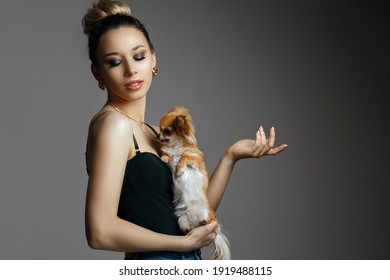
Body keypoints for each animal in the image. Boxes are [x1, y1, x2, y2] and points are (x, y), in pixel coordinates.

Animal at [157, 105, 230, 260]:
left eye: (167, 131)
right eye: (159, 129)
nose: (157, 136)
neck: (175, 147)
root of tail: (195, 219)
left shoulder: (196, 161)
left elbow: (184, 157)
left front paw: (179, 169)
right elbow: (168, 155)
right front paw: (165, 157)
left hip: (207, 215)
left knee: (209, 223)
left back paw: (204, 222)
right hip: (182, 221)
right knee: (188, 229)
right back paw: (192, 228)